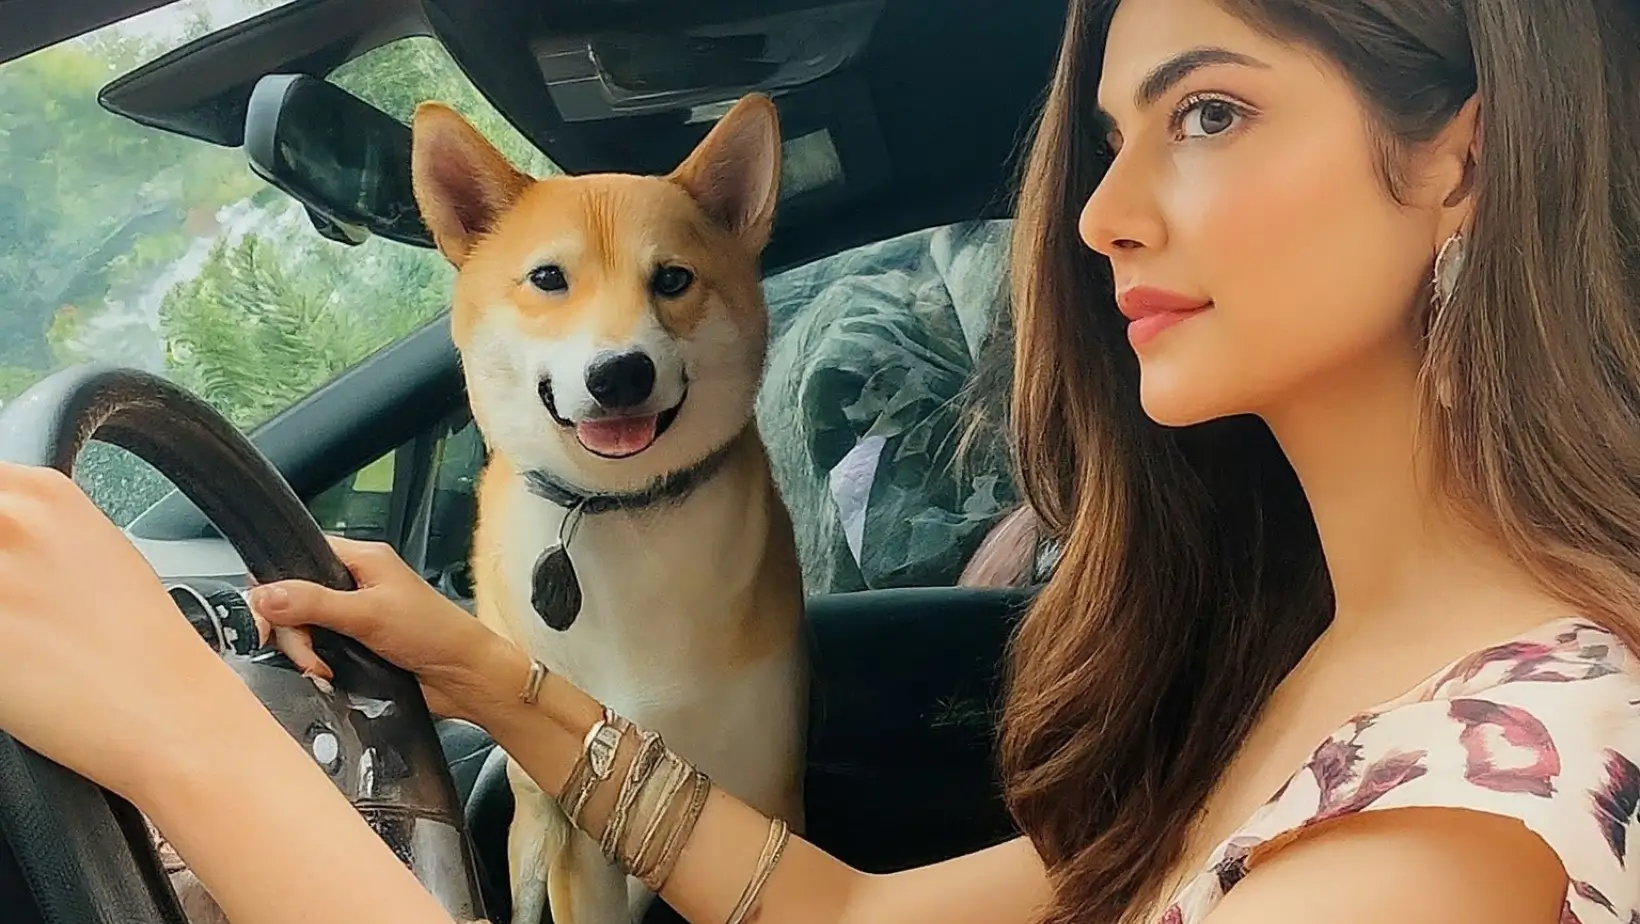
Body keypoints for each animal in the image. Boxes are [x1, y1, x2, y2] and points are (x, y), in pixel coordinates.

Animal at [413, 93, 810, 924]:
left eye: (673, 278)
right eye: (547, 278)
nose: (620, 372)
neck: (620, 513)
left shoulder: (766, 799)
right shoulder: (580, 820)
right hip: (533, 834)